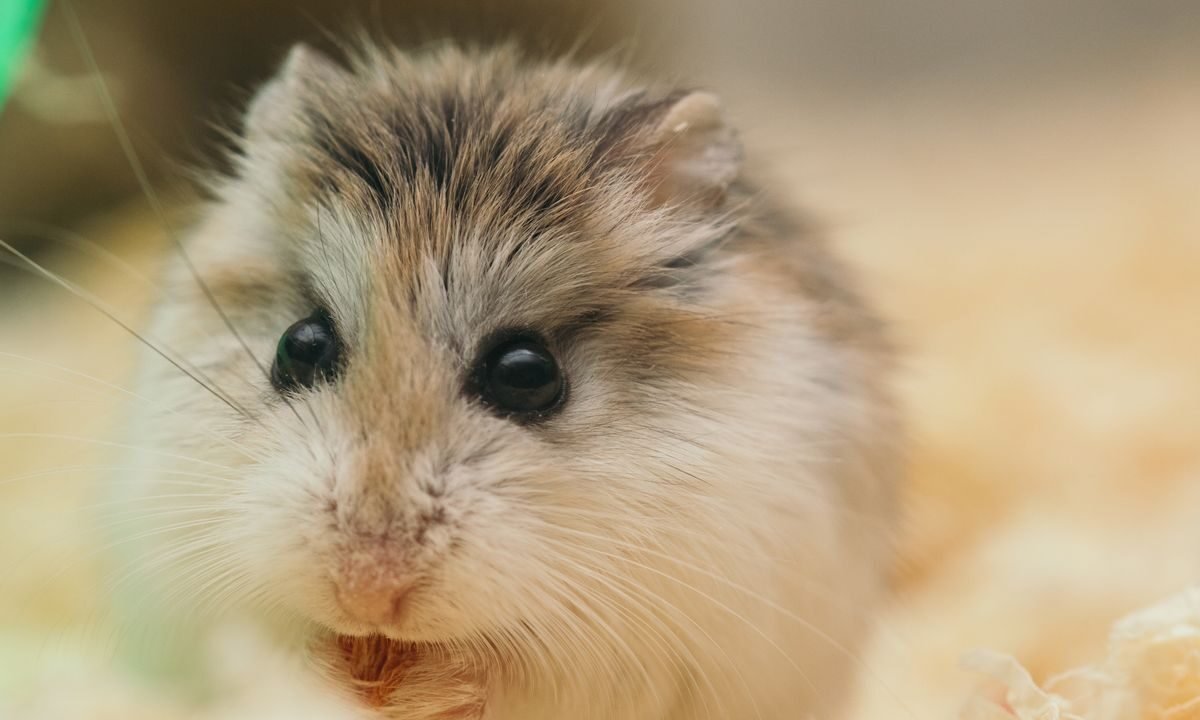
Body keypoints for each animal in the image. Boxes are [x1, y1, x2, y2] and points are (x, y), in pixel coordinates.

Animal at [111, 42, 900, 720]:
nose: (366, 592)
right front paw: (337, 670)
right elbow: (262, 646)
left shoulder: (638, 642)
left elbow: (508, 674)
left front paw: (419, 689)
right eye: (298, 346)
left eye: (527, 373)